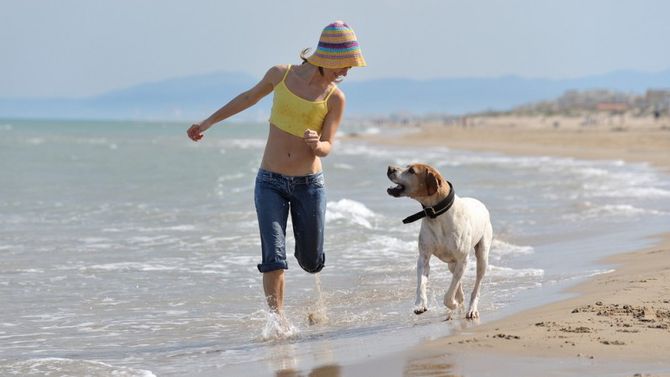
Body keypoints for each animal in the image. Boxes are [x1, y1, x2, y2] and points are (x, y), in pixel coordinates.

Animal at [388, 163, 494, 318]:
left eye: (412, 170)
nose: (390, 168)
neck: (436, 215)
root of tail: (480, 203)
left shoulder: (462, 259)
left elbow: (449, 294)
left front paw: (452, 303)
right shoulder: (424, 257)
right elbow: (421, 284)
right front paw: (420, 304)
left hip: (482, 256)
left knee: (476, 284)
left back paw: (471, 309)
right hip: (452, 264)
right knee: (457, 279)